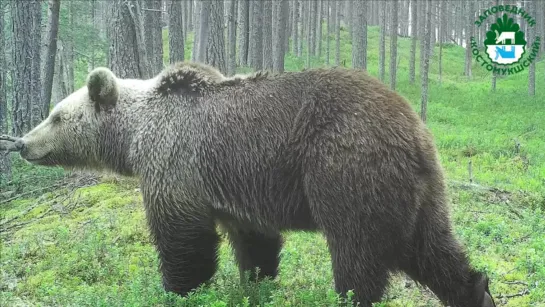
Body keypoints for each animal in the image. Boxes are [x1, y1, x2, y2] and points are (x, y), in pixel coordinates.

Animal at [15, 61, 492, 306]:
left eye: (56, 115)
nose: (22, 143)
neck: (134, 137)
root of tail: (413, 127)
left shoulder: (177, 163)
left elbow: (182, 240)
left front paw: (179, 289)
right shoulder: (233, 189)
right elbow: (255, 243)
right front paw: (255, 284)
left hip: (345, 169)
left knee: (358, 256)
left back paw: (352, 295)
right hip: (420, 192)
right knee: (432, 249)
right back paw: (477, 291)